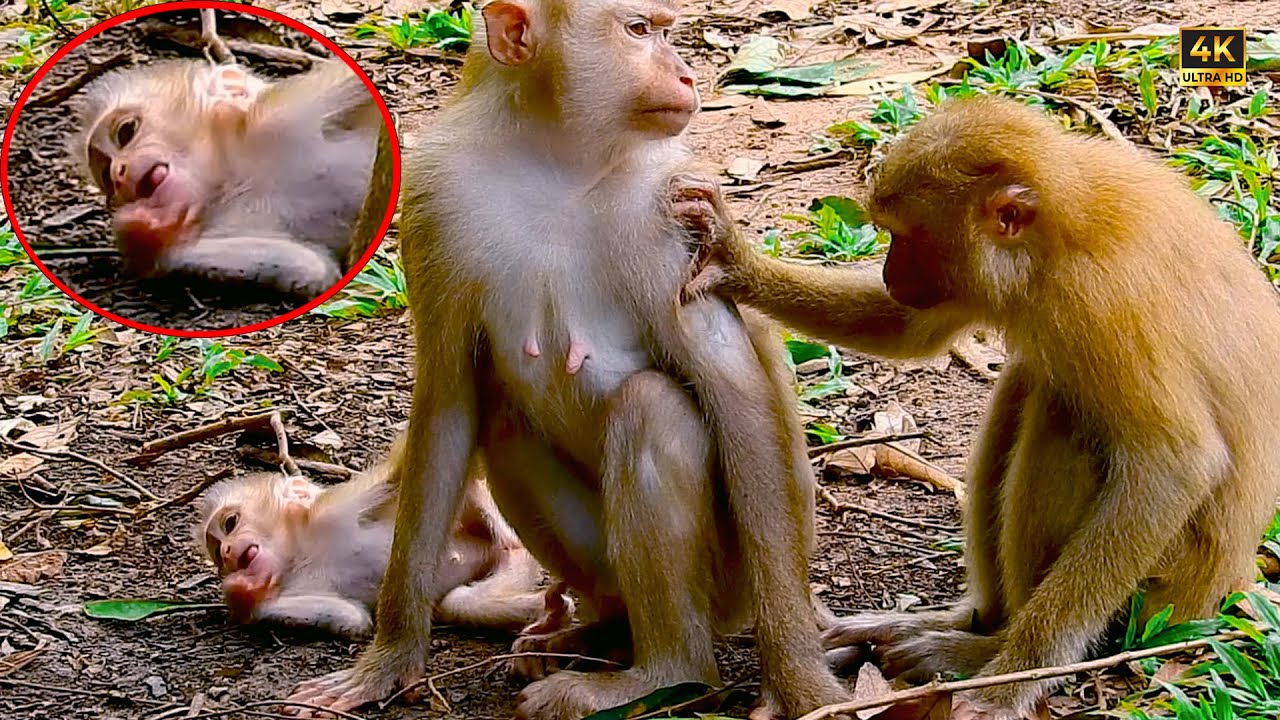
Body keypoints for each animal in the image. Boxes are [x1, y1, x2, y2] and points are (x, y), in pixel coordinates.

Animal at [69, 58, 387, 298]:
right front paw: (141, 227)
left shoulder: (289, 111)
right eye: (106, 176)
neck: (237, 176)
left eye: (126, 131)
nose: (118, 173)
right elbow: (317, 272)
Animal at [195, 447, 574, 639]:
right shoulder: (292, 585)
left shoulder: (338, 508)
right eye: (217, 554)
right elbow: (353, 621)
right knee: (457, 604)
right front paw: (241, 590)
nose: (227, 553)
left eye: (231, 523)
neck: (304, 552)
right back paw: (553, 613)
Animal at [284, 0, 850, 718]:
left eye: (665, 28)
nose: (686, 72)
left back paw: (666, 671)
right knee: (503, 419)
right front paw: (388, 658)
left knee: (651, 407)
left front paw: (802, 681)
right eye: (639, 31)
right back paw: (603, 625)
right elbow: (448, 405)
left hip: (729, 583)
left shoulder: (666, 208)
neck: (557, 161)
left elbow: (735, 394)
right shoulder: (434, 201)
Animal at [685, 94, 1280, 717]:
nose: (892, 274)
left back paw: (985, 651)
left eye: (906, 237)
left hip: (1161, 590)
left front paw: (1013, 681)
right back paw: (969, 623)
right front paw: (734, 260)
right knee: (1028, 383)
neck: (1058, 230)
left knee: (1065, 416)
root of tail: (1224, 588)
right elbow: (909, 330)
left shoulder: (1101, 301)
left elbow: (1174, 464)